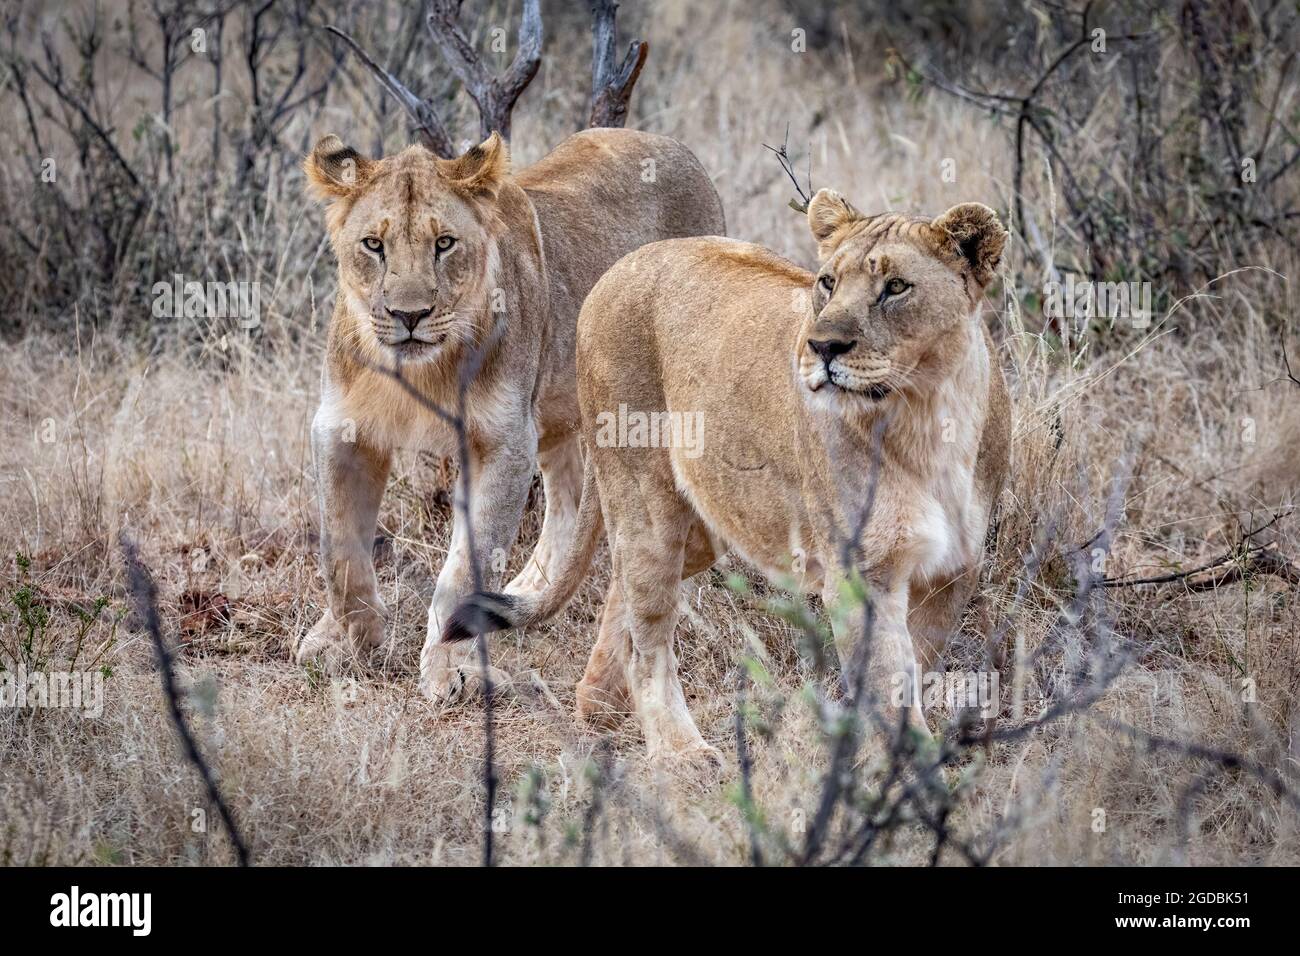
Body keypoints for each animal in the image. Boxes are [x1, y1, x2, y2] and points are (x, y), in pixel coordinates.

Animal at [295, 127, 725, 704]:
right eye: (373, 245)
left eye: (444, 243)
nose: (409, 316)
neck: (423, 371)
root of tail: (675, 147)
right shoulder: (342, 429)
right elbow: (339, 549)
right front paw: (350, 638)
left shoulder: (504, 443)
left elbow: (464, 567)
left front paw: (448, 668)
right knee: (567, 497)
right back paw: (526, 589)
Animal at [446, 189, 1011, 768]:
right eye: (828, 282)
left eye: (896, 287)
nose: (823, 346)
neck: (924, 415)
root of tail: (618, 269)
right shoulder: (861, 575)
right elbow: (888, 681)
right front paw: (905, 773)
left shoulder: (953, 572)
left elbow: (916, 666)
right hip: (646, 503)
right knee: (648, 635)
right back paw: (680, 752)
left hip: (702, 527)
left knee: (621, 597)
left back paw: (599, 705)